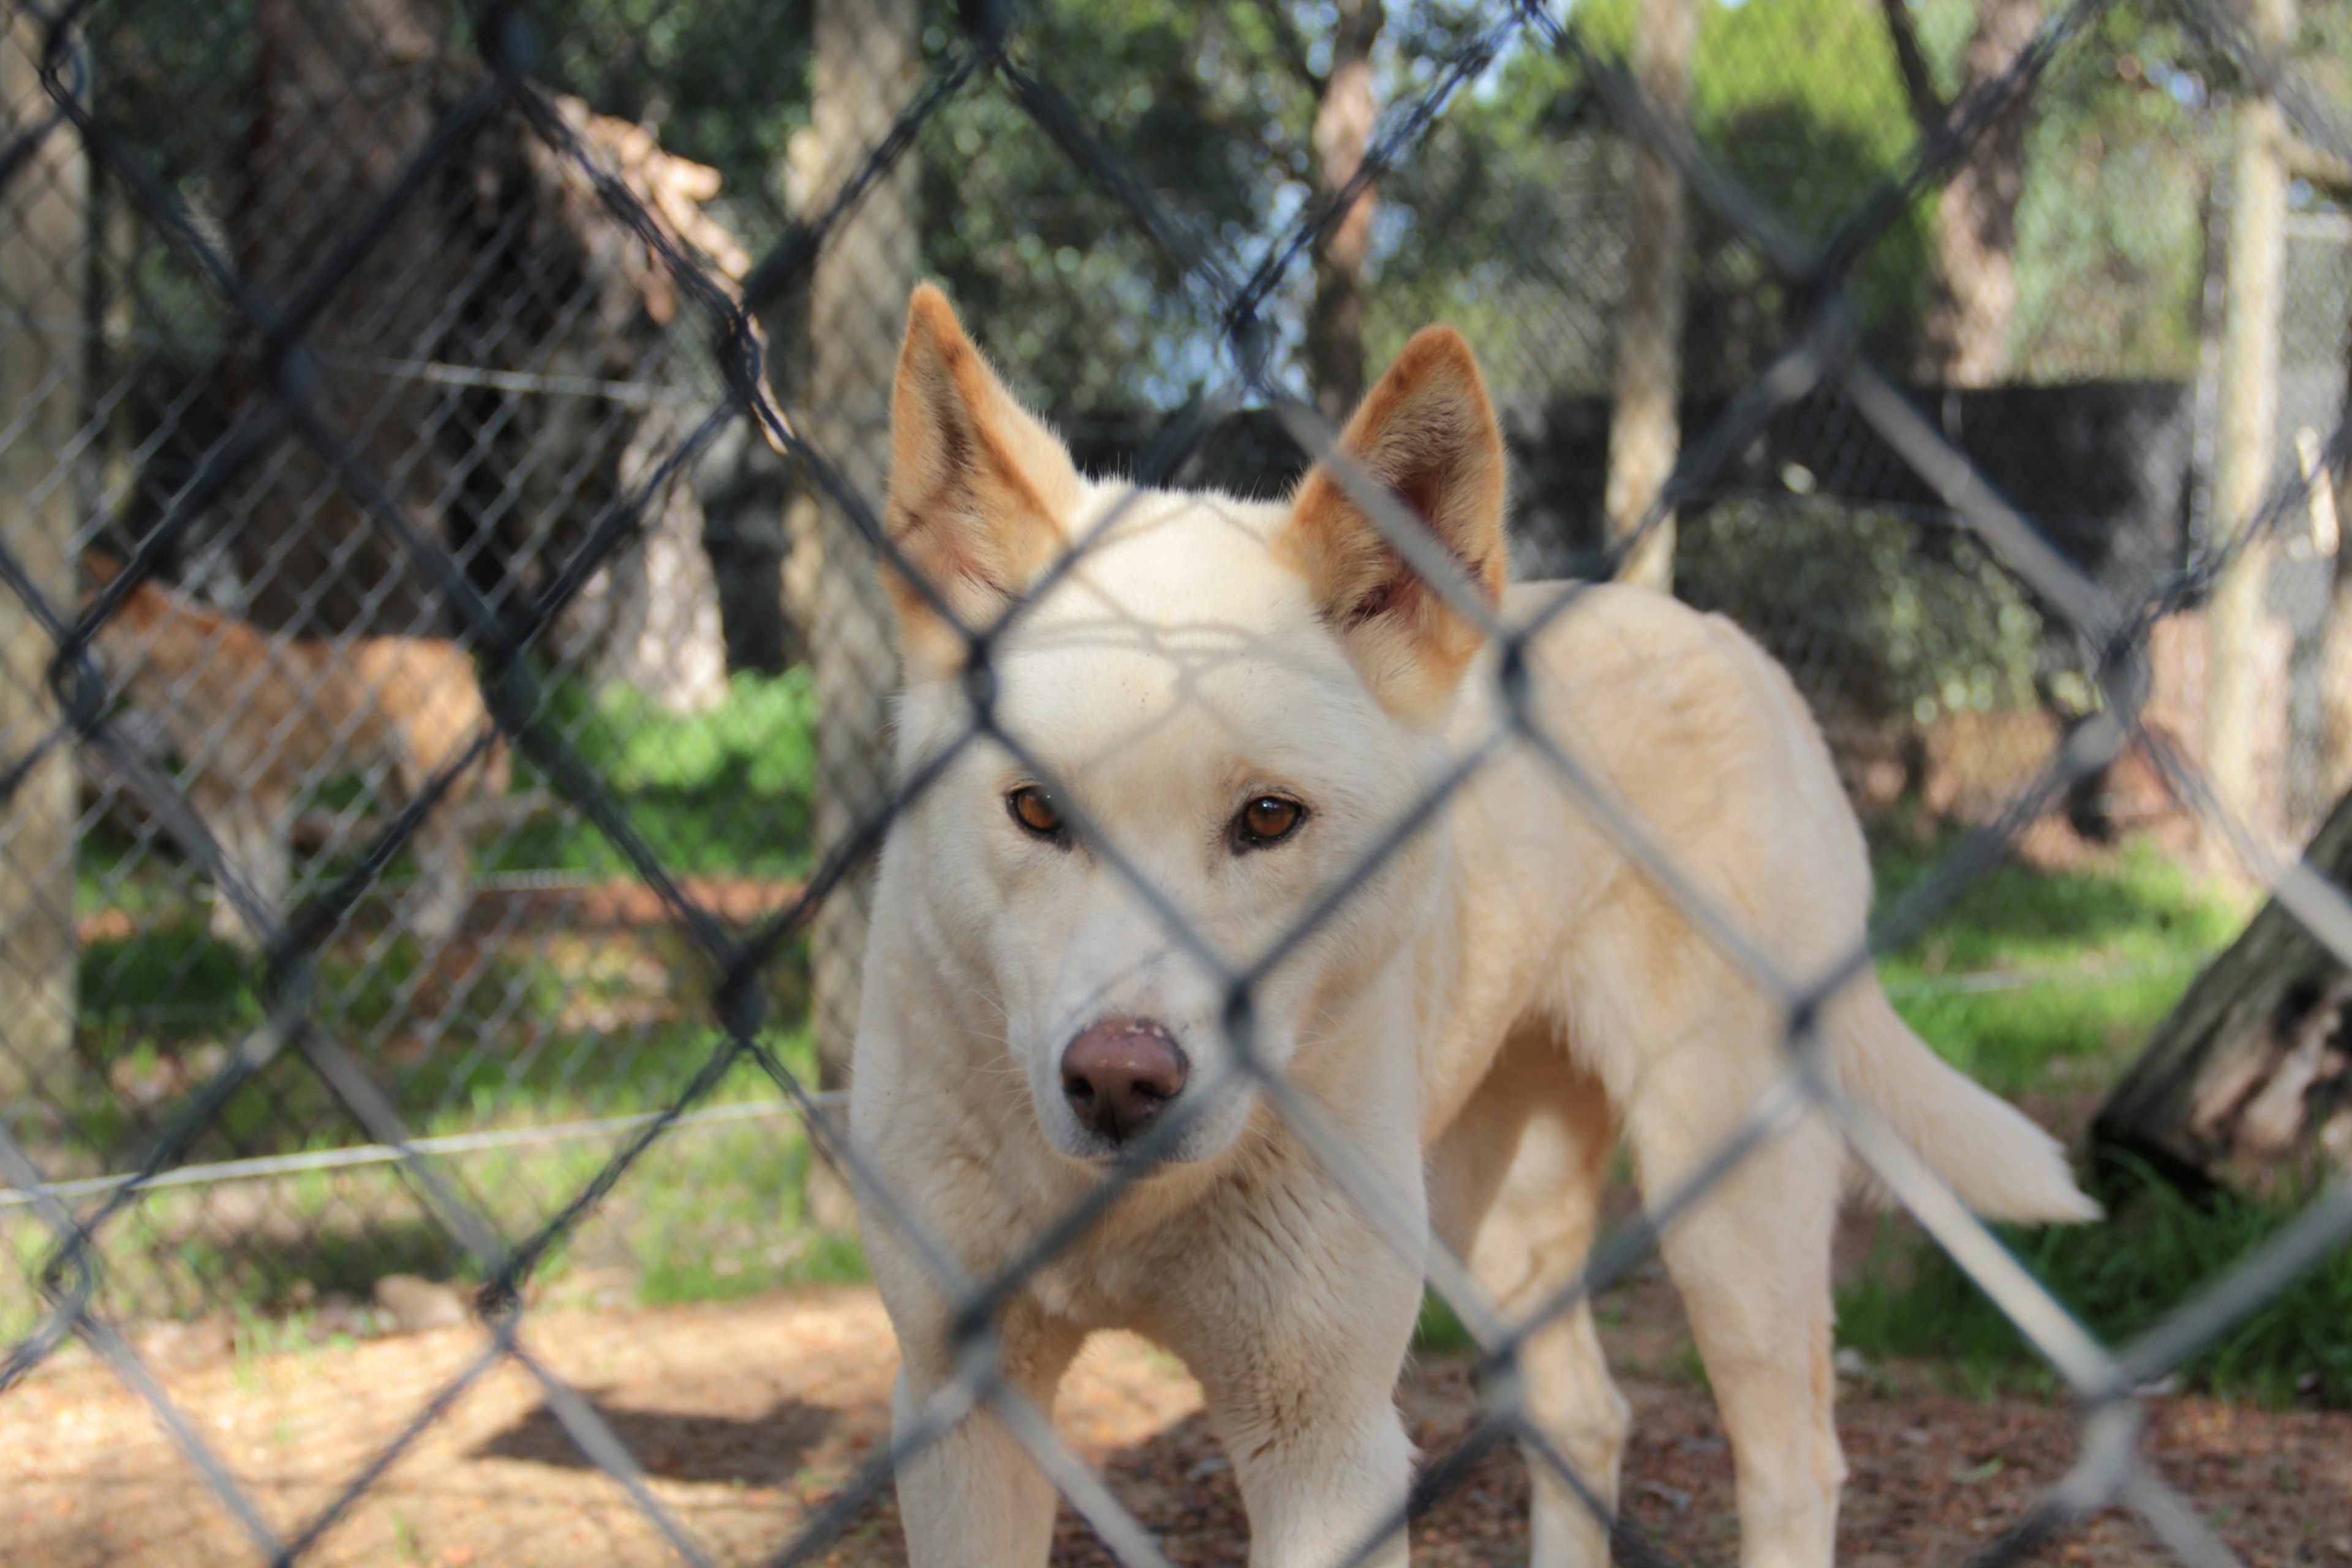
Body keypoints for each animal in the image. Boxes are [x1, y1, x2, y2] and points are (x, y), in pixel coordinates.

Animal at [89, 562, 508, 944]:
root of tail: (463, 659)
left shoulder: (265, 794)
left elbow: (262, 872)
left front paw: (253, 937)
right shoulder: (219, 798)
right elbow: (231, 875)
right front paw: (227, 935)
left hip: (427, 783)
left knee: (458, 859)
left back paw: (438, 926)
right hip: (399, 796)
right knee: (435, 858)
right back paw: (422, 921)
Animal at [851, 285, 2098, 1568]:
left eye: (1268, 818)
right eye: (1036, 809)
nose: (1118, 1082)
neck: (1112, 1212)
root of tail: (1723, 634)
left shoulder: (1327, 1447)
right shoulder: (958, 1406)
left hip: (1725, 1212)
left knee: (1794, 1465)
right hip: (1493, 1219)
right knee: (1591, 1416)